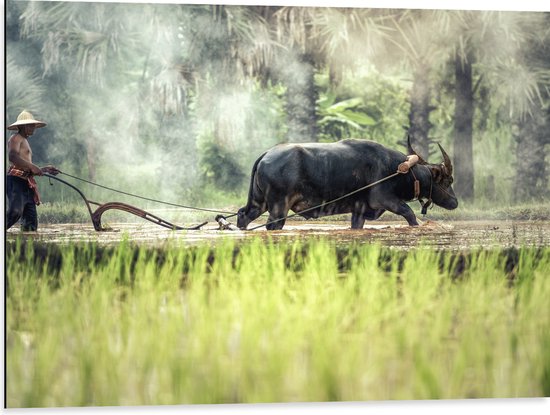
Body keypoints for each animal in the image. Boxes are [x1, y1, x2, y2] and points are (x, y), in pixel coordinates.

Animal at [239, 139, 460, 231]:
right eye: (448, 180)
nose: (455, 202)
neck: (399, 170)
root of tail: (266, 155)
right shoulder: (386, 200)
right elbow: (410, 214)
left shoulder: (359, 211)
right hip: (278, 207)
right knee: (272, 224)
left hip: (259, 202)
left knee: (244, 215)